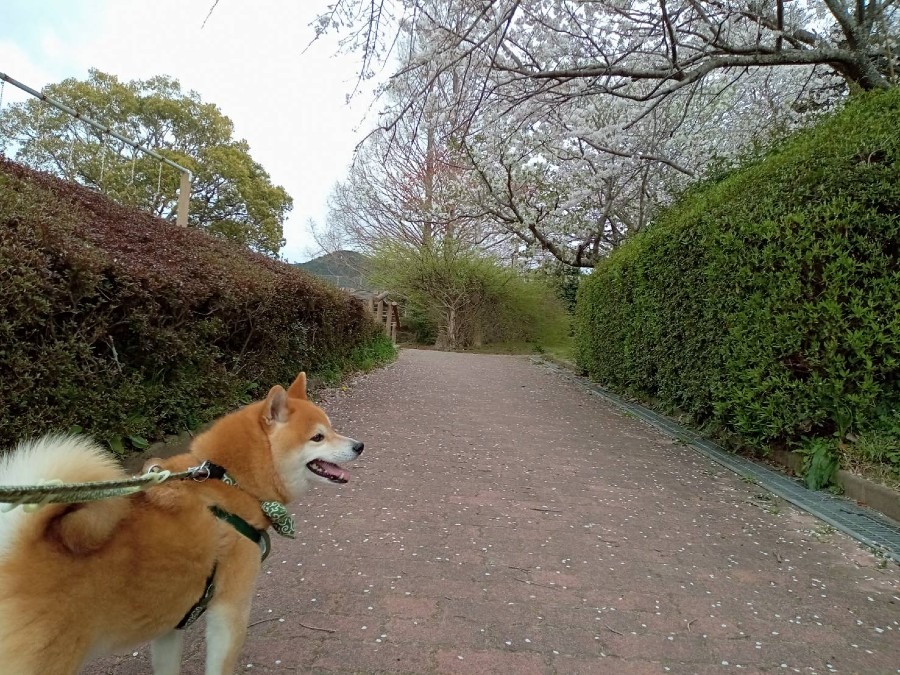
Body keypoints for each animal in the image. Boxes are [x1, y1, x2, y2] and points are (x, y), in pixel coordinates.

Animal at [0, 372, 362, 672]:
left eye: (331, 428)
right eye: (318, 437)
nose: (359, 445)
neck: (232, 482)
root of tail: (17, 549)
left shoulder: (172, 621)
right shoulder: (229, 610)